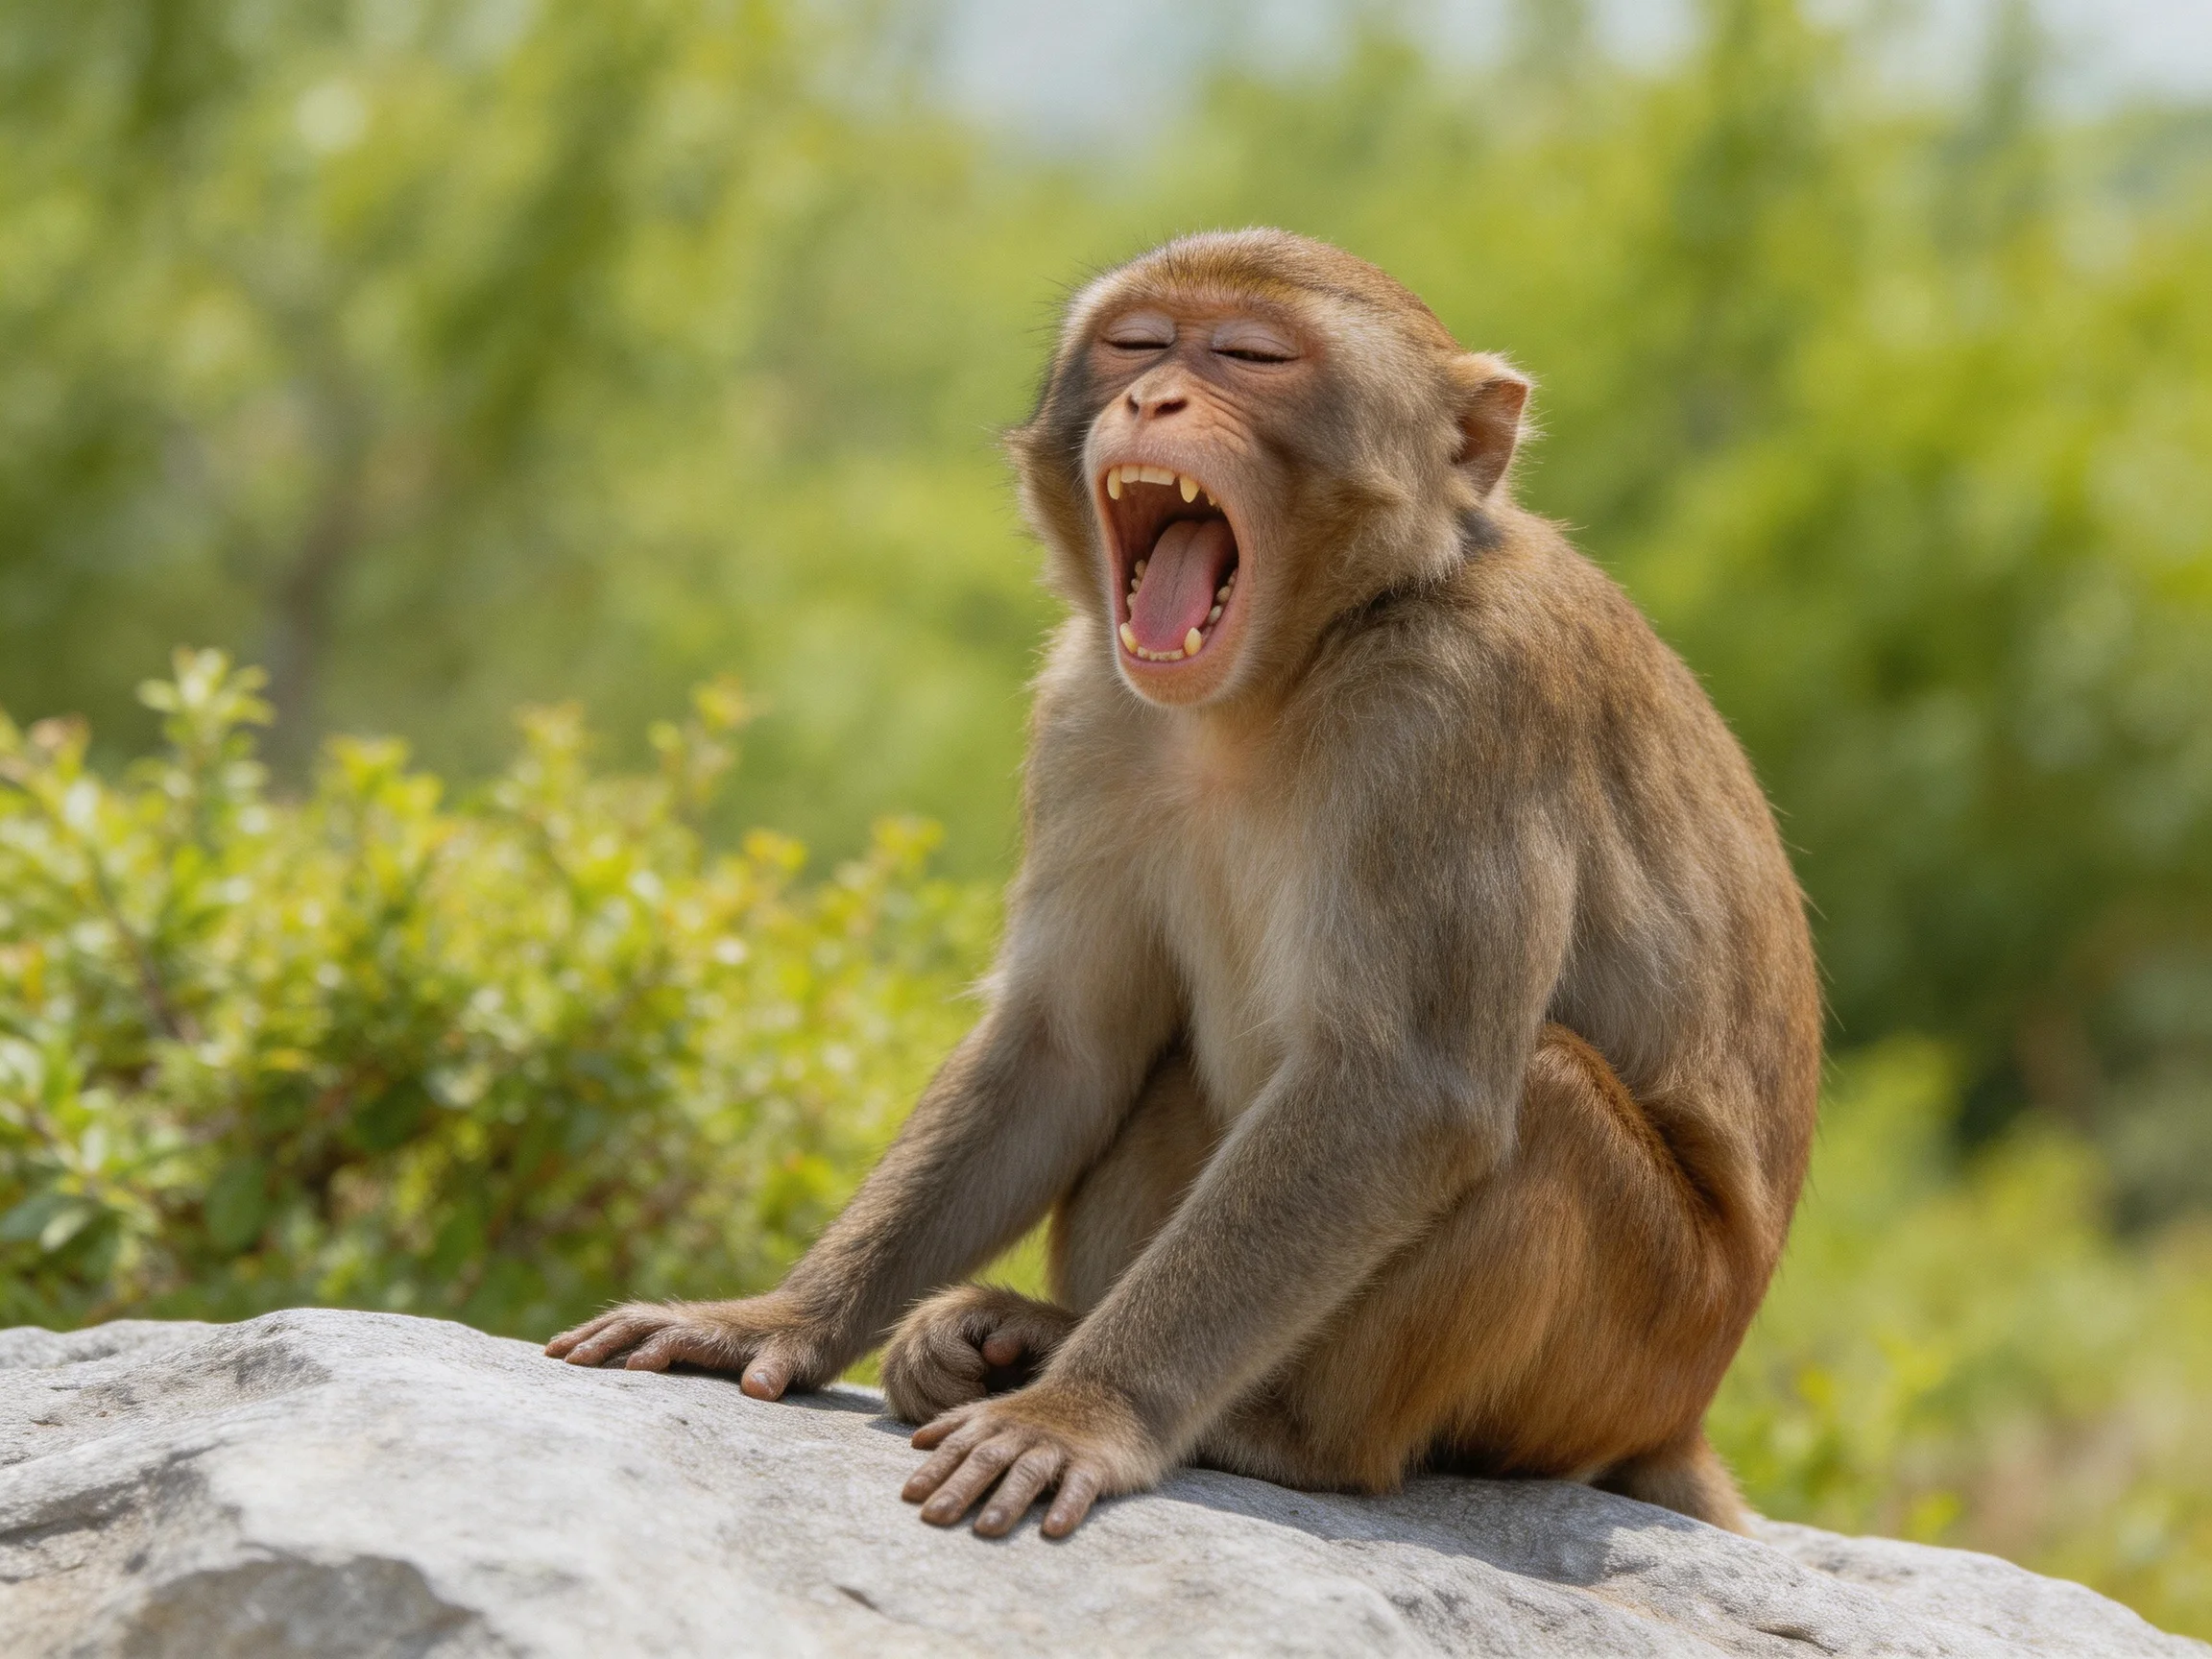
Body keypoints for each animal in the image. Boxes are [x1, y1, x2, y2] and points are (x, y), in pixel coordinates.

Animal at [547, 229, 1822, 1543]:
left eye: (1254, 358)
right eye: (1137, 343)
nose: (1154, 399)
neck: (1278, 676)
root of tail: (1685, 1413)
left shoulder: (1468, 703)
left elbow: (1398, 1092)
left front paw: (1082, 1414)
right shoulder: (1085, 707)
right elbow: (1062, 1046)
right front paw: (775, 1321)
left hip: (1630, 1351)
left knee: (1549, 1099)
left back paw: (1278, 1433)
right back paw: (1018, 1335)